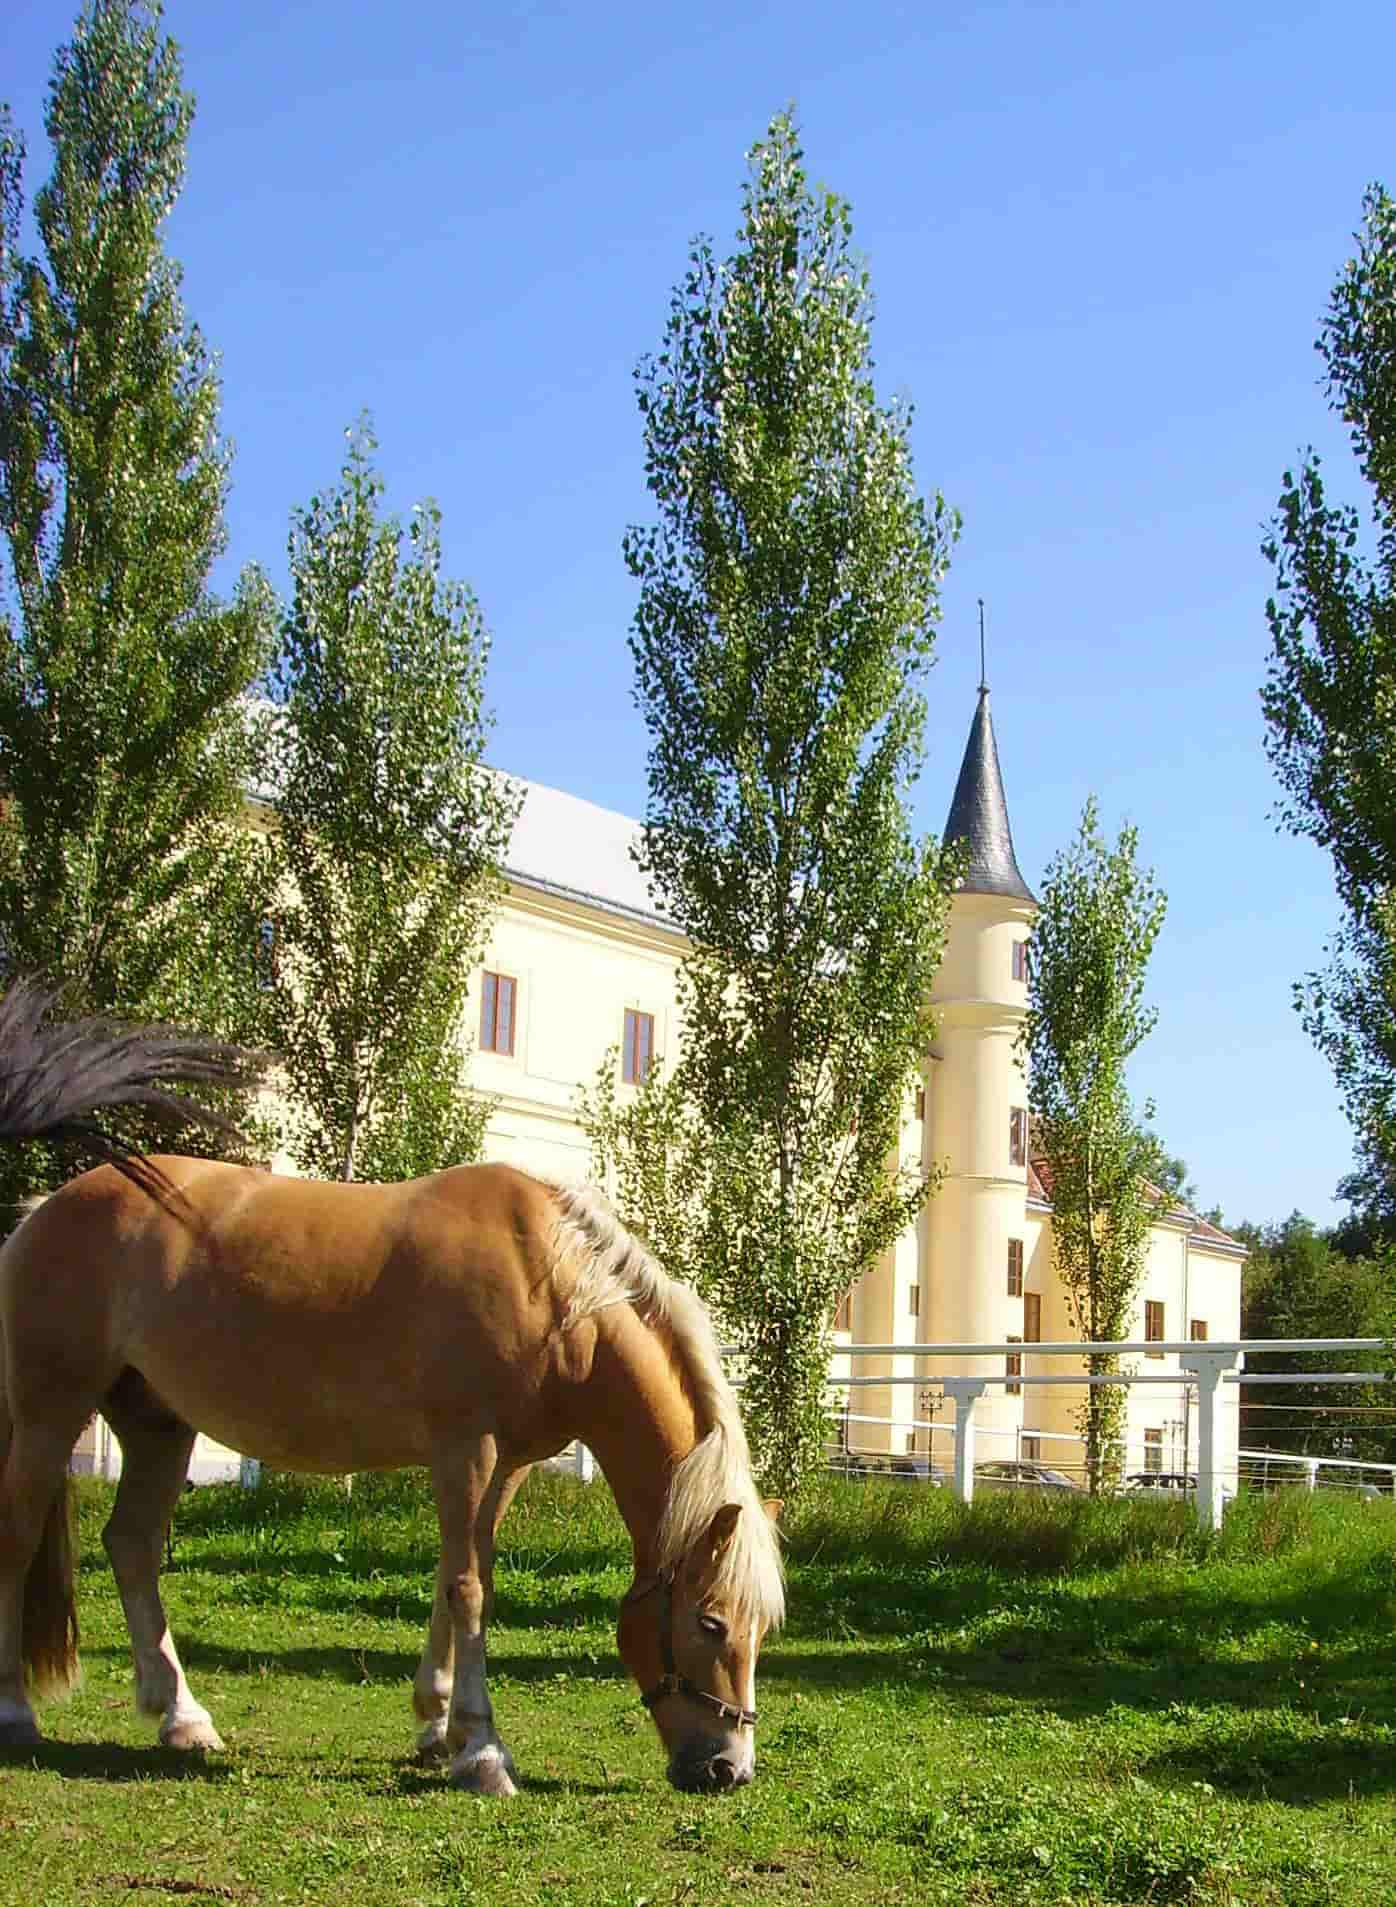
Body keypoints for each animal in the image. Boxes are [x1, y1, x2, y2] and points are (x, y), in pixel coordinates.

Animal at [0, 1151, 785, 1792]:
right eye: (711, 1621)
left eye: (759, 1629)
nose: (728, 1768)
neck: (549, 1283)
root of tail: (42, 1211)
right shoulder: (466, 1448)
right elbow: (468, 1588)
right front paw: (484, 1751)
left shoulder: (506, 1465)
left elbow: (461, 1574)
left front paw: (439, 1727)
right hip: (51, 1413)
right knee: (20, 1540)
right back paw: (16, 1710)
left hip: (158, 1425)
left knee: (132, 1546)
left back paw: (181, 1716)